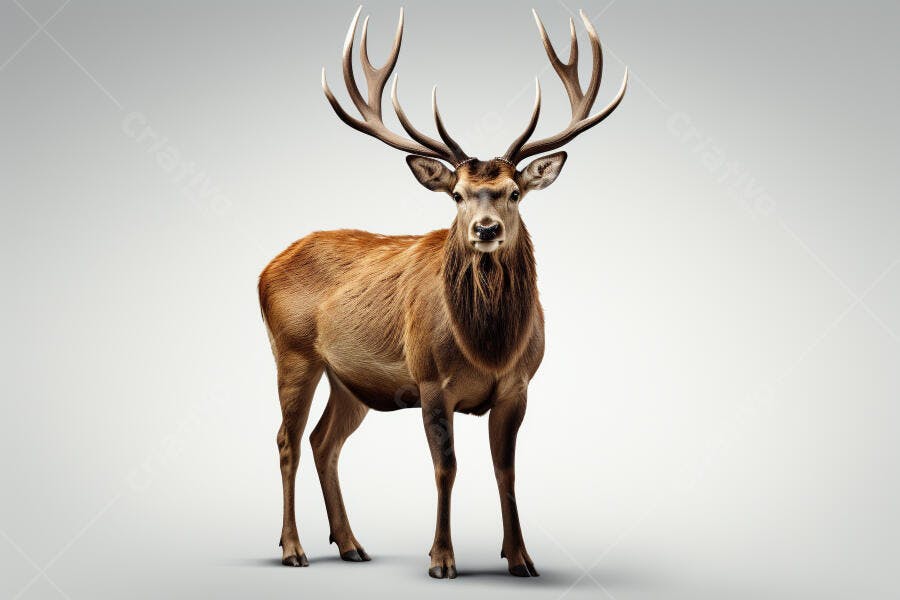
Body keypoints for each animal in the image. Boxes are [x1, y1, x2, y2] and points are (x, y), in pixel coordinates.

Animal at [258, 6, 626, 579]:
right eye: (456, 194)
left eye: (513, 192)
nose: (485, 229)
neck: (489, 347)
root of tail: (264, 269)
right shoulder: (431, 380)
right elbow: (446, 467)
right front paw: (441, 559)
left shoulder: (519, 386)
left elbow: (506, 469)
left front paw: (521, 557)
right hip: (292, 351)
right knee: (286, 440)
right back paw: (293, 549)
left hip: (349, 381)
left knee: (324, 442)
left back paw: (350, 544)